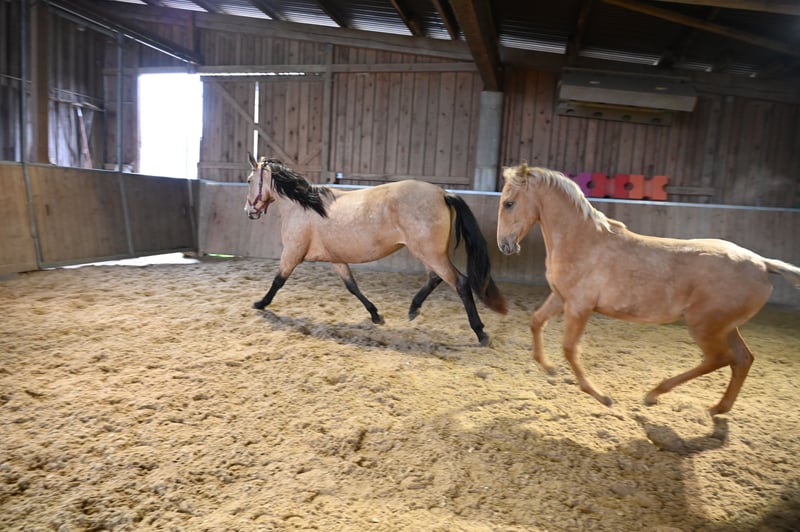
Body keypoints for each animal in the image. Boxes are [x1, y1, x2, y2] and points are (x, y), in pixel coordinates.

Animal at [244, 155, 507, 346]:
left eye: (248, 180)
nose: (249, 212)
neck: (305, 206)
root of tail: (444, 193)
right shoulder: (336, 259)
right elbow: (352, 287)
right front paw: (375, 315)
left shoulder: (292, 253)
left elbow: (278, 280)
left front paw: (260, 303)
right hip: (428, 253)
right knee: (435, 278)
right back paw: (413, 309)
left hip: (431, 253)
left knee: (460, 282)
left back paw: (480, 333)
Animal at [496, 161, 800, 415]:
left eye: (509, 203)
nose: (504, 245)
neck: (582, 242)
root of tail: (763, 263)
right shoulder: (561, 298)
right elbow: (536, 322)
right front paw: (548, 368)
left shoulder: (579, 307)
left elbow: (570, 348)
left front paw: (601, 396)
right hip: (725, 327)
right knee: (742, 359)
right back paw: (718, 408)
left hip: (704, 326)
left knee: (718, 359)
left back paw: (654, 394)